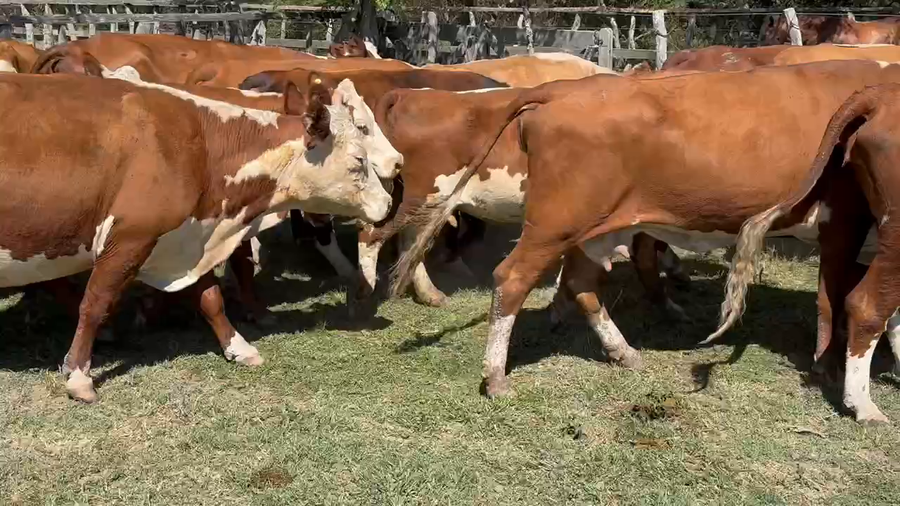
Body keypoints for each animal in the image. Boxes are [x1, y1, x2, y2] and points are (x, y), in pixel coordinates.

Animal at [0, 72, 394, 402]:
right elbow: (95, 303)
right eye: (358, 159)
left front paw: (238, 346)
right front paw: (79, 375)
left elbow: (210, 299)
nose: (388, 203)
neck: (199, 147)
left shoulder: (188, 237)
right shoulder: (129, 238)